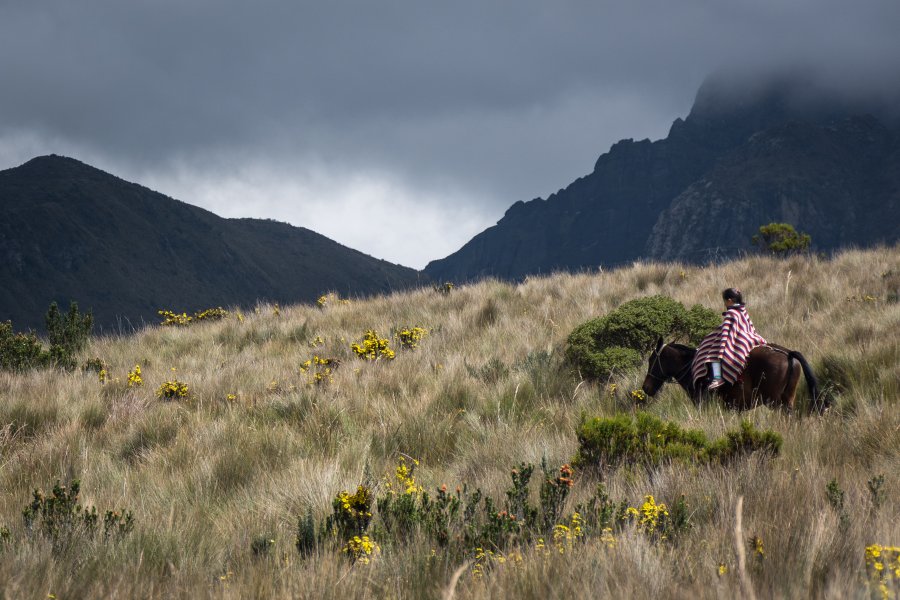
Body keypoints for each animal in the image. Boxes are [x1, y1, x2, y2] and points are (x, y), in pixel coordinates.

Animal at [640, 336, 824, 414]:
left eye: (652, 360)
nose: (646, 388)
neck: (692, 368)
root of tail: (789, 354)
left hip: (775, 402)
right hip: (787, 399)